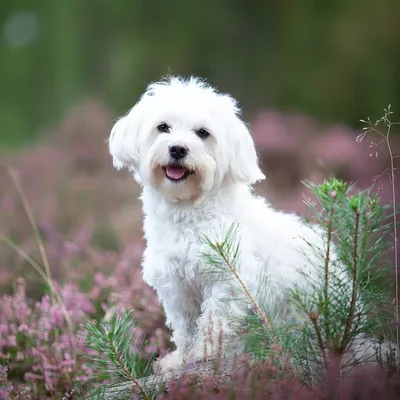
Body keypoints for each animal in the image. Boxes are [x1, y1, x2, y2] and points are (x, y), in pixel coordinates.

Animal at [108, 75, 376, 372]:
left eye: (203, 133)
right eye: (163, 127)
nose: (177, 148)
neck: (190, 211)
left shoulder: (227, 279)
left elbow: (213, 320)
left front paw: (204, 352)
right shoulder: (176, 285)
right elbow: (184, 325)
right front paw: (180, 358)